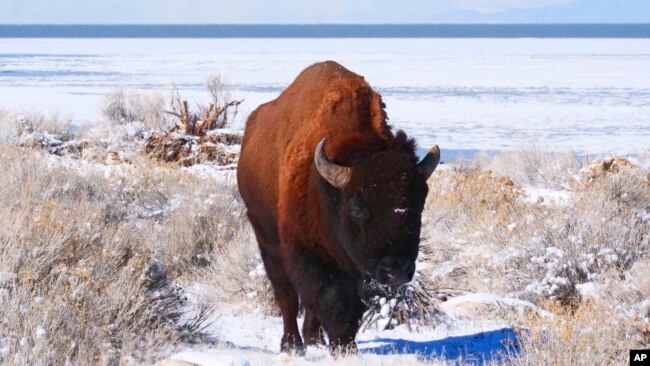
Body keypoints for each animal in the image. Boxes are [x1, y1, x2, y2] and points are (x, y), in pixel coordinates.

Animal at [235, 60, 438, 354]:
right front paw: (341, 346)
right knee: (286, 292)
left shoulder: (358, 270)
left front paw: (343, 345)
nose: (396, 270)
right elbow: (328, 299)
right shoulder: (309, 254)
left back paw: (314, 339)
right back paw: (292, 344)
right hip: (267, 237)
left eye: (418, 204)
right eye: (356, 208)